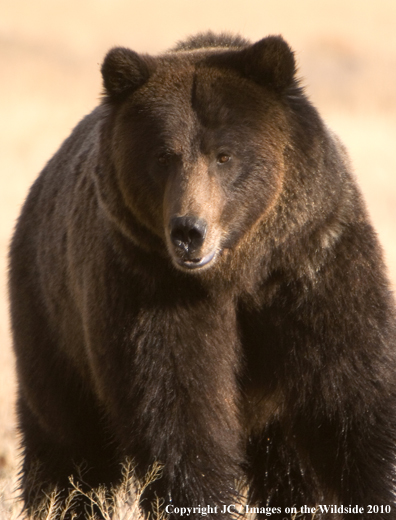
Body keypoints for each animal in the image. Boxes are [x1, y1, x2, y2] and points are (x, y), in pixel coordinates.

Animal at [7, 33, 396, 520]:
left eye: (224, 155)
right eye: (163, 155)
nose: (188, 231)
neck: (237, 272)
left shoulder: (311, 263)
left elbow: (354, 398)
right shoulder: (149, 287)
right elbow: (179, 415)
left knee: (290, 467)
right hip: (53, 318)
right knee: (68, 441)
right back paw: (61, 501)